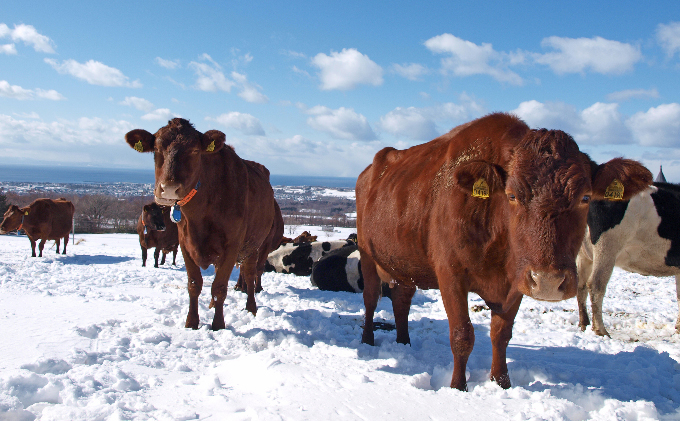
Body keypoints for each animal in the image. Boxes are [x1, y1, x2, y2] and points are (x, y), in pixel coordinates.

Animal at [123, 117, 280, 328]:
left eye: (195, 151)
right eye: (156, 149)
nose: (169, 188)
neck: (201, 214)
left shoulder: (232, 246)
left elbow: (220, 287)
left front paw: (218, 325)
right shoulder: (185, 243)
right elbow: (194, 284)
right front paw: (191, 322)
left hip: (254, 245)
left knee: (250, 273)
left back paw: (251, 308)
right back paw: (213, 305)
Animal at [354, 112, 652, 390]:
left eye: (586, 197)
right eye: (512, 195)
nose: (548, 282)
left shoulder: (517, 280)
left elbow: (501, 333)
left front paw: (501, 382)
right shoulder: (450, 274)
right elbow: (462, 334)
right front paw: (457, 387)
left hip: (403, 262)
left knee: (401, 300)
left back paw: (404, 342)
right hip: (368, 256)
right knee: (371, 298)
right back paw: (368, 339)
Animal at [576, 182, 680, 336]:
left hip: (584, 254)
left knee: (581, 285)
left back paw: (584, 324)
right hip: (607, 247)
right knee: (595, 285)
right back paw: (601, 330)